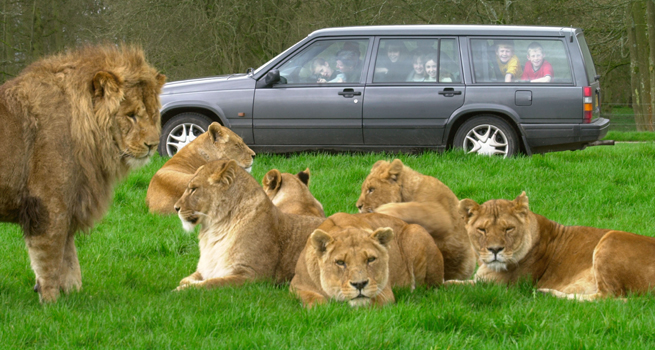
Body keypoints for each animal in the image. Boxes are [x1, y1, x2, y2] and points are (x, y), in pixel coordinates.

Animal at [0, 45, 167, 302]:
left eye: (152, 113)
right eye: (131, 115)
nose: (153, 144)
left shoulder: (71, 202)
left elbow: (69, 259)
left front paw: (74, 297)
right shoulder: (48, 205)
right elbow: (50, 259)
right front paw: (51, 301)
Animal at [292, 212, 446, 308]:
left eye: (371, 259)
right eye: (340, 262)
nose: (360, 284)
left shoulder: (385, 293)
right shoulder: (296, 285)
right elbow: (314, 301)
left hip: (416, 231)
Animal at [458, 191, 655, 300]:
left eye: (509, 228)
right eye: (482, 229)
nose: (495, 250)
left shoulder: (495, 286)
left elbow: (454, 284)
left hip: (611, 238)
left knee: (611, 299)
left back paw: (548, 294)